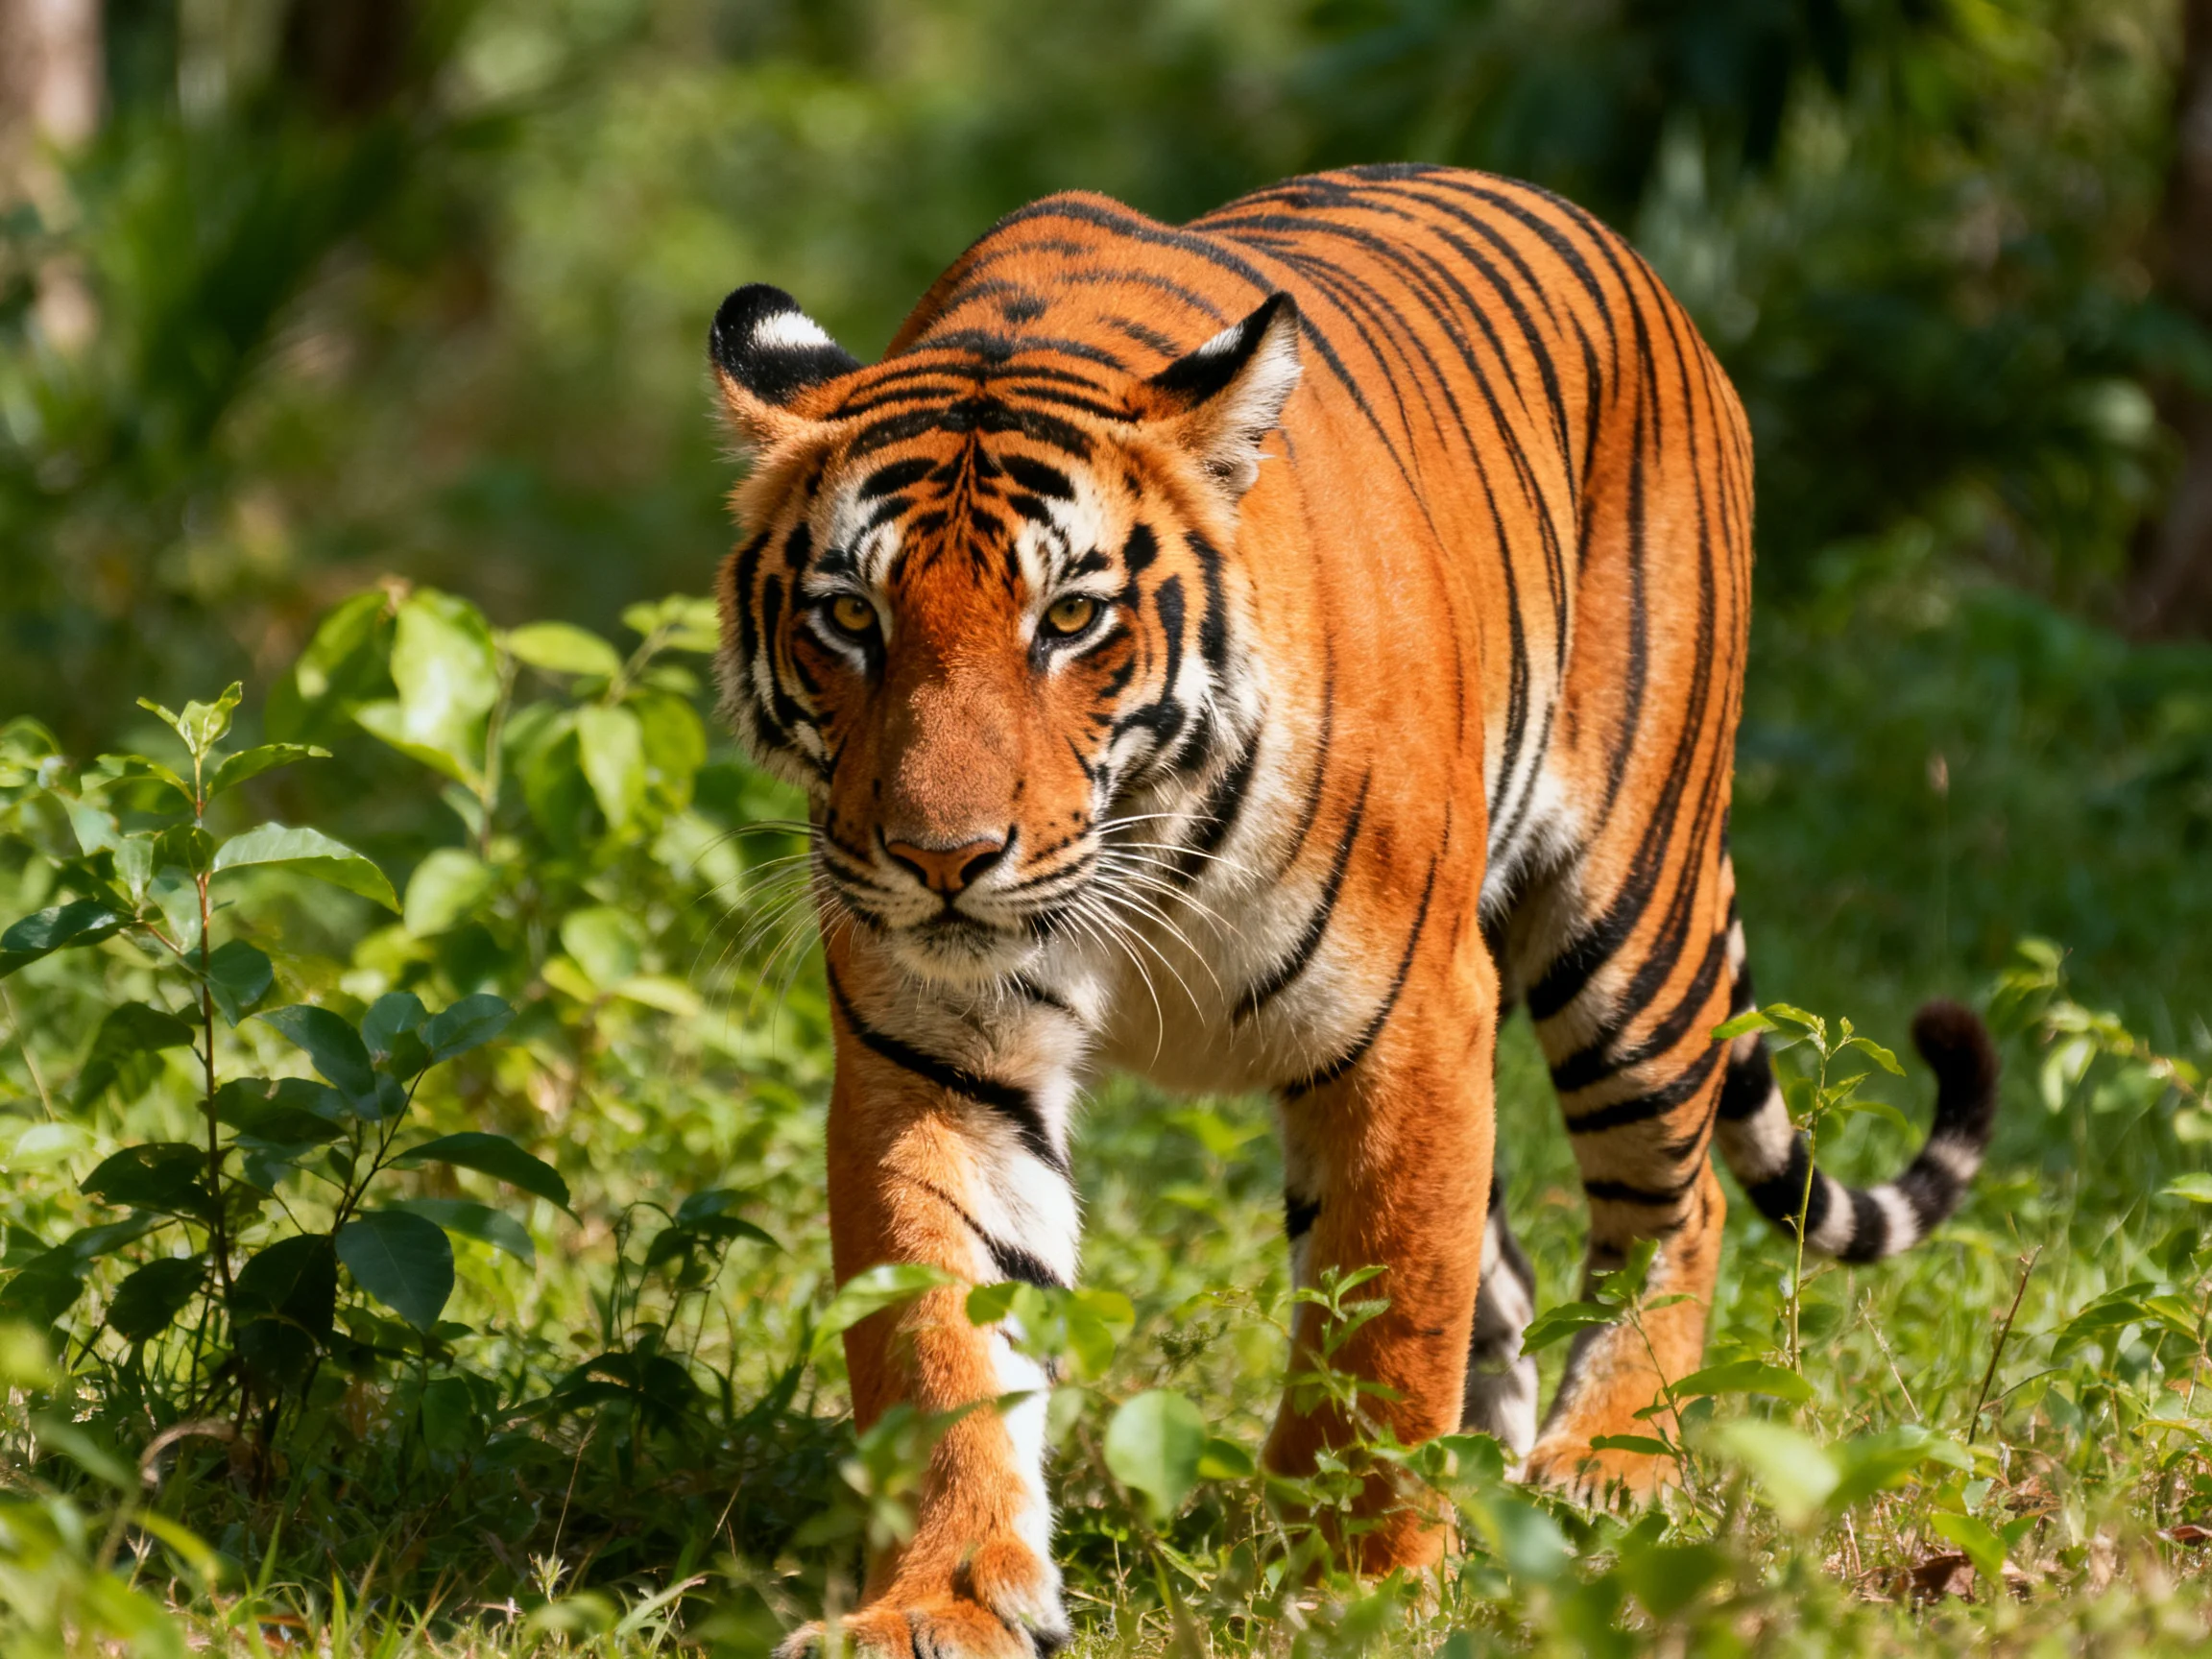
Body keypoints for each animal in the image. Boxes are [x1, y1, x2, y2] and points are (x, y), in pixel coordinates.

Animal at [707, 162, 2000, 1658]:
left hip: (1629, 917)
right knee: (1514, 1276)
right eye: (850, 619)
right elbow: (937, 1333)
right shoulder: (934, 1051)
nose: (943, 856)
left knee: (1675, 1212)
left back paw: (1605, 1470)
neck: (1131, 847)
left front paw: (1360, 1584)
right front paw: (944, 1600)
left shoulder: (1406, 1022)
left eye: (1071, 619)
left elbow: (1386, 1319)